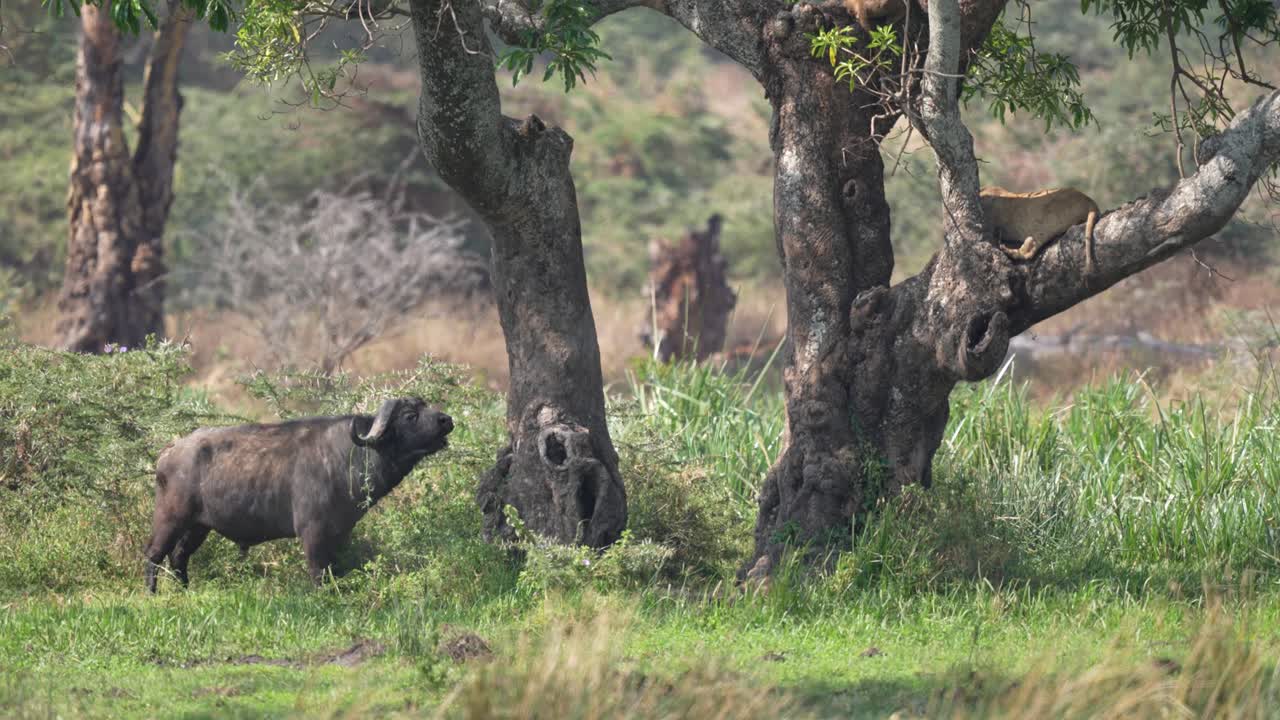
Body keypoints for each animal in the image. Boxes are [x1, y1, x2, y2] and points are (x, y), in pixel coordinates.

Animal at [145, 397, 452, 592]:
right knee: (153, 555)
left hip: (198, 526)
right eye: (410, 416)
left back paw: (185, 591)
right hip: (170, 519)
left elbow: (336, 569)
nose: (446, 420)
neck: (350, 455)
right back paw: (152, 594)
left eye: (425, 405)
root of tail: (171, 449)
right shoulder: (312, 532)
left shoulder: (341, 533)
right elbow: (319, 572)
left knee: (179, 557)